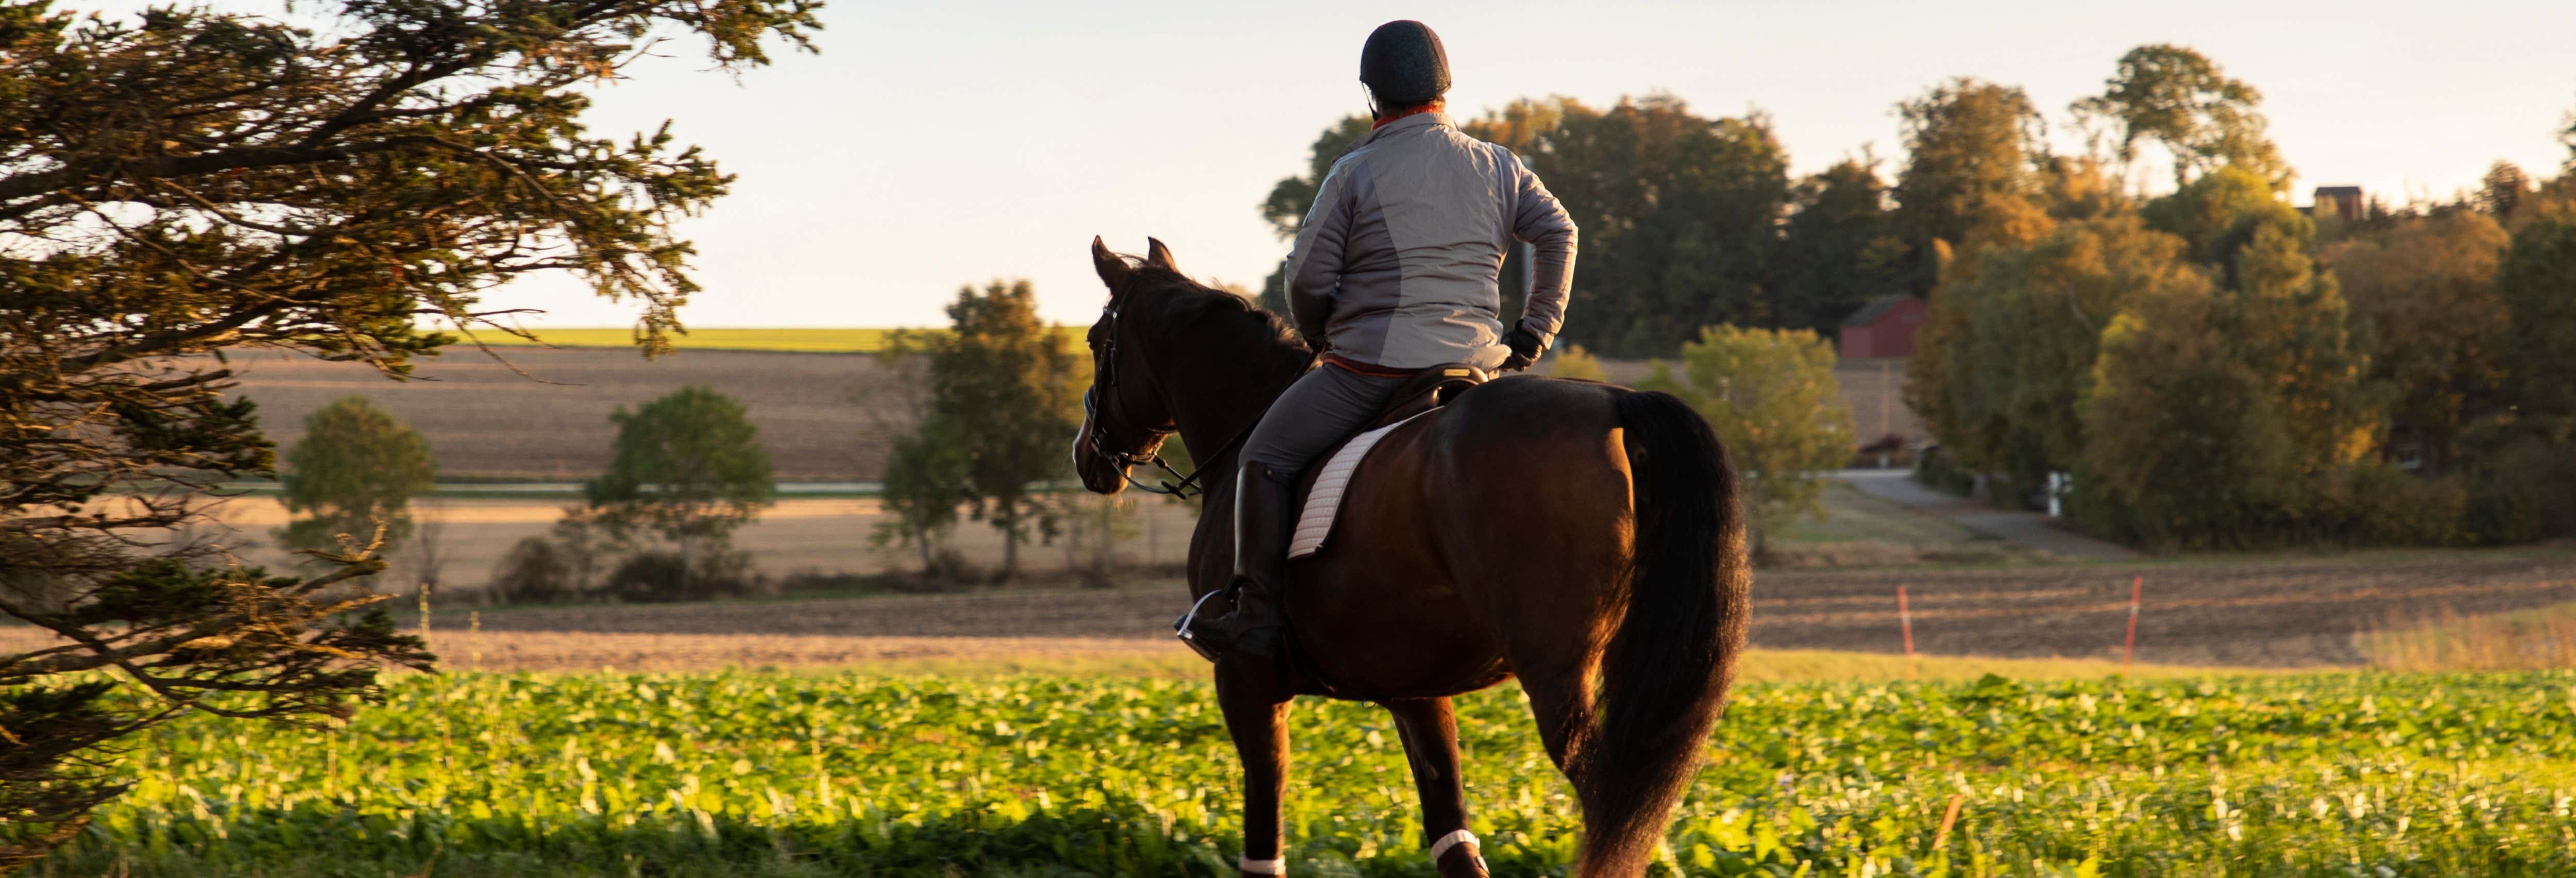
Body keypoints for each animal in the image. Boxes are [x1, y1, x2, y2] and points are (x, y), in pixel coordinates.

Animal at [1066, 235, 1752, 870]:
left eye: (1096, 340)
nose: (1086, 455)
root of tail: (1613, 401)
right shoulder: (1415, 693)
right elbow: (1453, 839)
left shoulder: (1245, 683)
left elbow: (1264, 841)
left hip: (1558, 679)